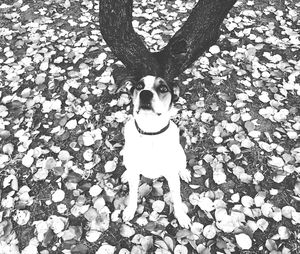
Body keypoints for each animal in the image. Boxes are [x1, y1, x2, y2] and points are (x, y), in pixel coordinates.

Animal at [119, 74, 191, 227]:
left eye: (163, 88)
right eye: (139, 86)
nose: (145, 94)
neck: (150, 132)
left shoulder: (172, 175)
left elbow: (177, 198)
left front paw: (182, 216)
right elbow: (132, 193)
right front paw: (130, 210)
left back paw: (184, 172)